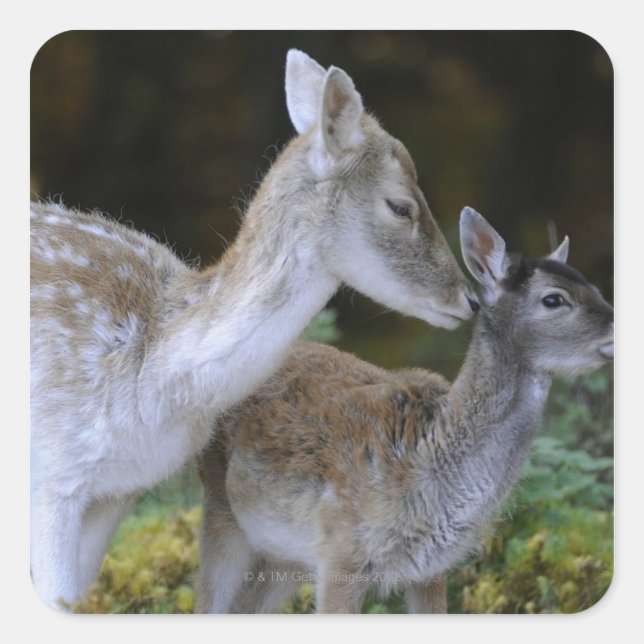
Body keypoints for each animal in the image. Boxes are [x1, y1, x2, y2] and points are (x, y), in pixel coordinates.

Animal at [196, 207, 614, 614]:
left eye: (595, 288)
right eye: (554, 299)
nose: (615, 330)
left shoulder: (430, 568)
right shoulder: (342, 550)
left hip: (286, 555)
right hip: (221, 505)